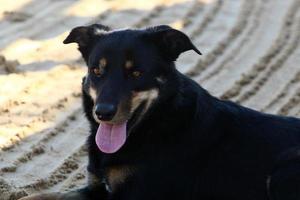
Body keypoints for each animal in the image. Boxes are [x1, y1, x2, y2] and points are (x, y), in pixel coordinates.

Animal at [20, 24, 300, 199]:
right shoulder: (97, 189)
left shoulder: (134, 195)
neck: (155, 124)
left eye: (136, 73)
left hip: (283, 173)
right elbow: (42, 195)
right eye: (96, 71)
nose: (103, 113)